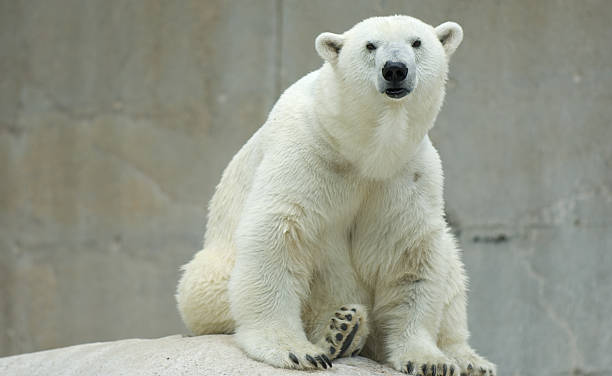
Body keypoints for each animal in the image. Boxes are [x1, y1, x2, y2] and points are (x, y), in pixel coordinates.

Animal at [177, 13, 498, 374]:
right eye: (370, 45)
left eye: (416, 42)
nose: (395, 69)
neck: (358, 147)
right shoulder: (306, 151)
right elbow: (279, 231)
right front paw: (295, 351)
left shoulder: (407, 173)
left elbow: (410, 251)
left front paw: (428, 360)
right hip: (211, 281)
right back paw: (342, 329)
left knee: (451, 269)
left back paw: (467, 358)